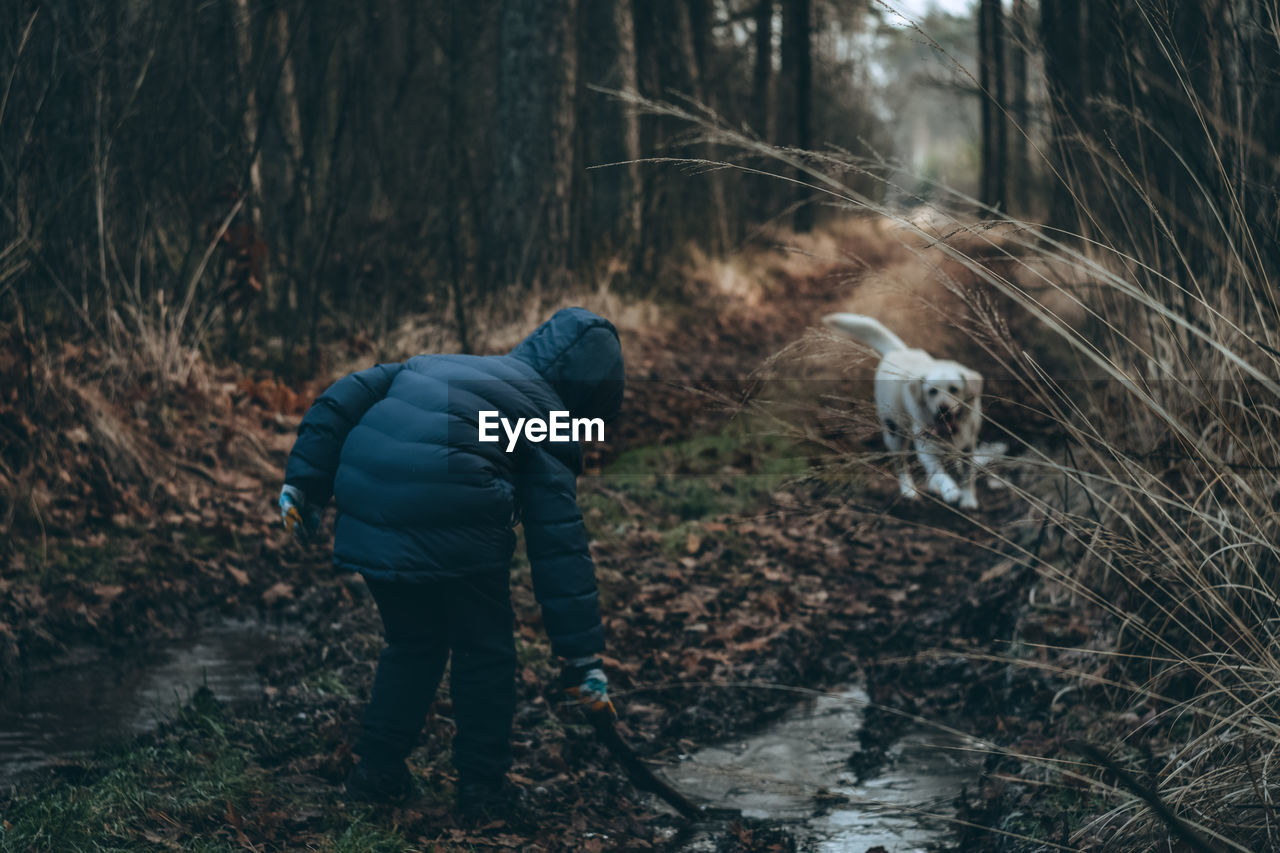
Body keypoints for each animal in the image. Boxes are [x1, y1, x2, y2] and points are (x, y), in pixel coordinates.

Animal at [824, 313, 983, 507]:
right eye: (932, 391)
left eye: (954, 389)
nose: (942, 409)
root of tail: (898, 351)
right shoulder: (925, 448)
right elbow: (938, 470)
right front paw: (950, 490)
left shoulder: (969, 447)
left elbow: (968, 476)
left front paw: (968, 500)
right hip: (894, 433)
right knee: (902, 465)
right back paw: (909, 490)